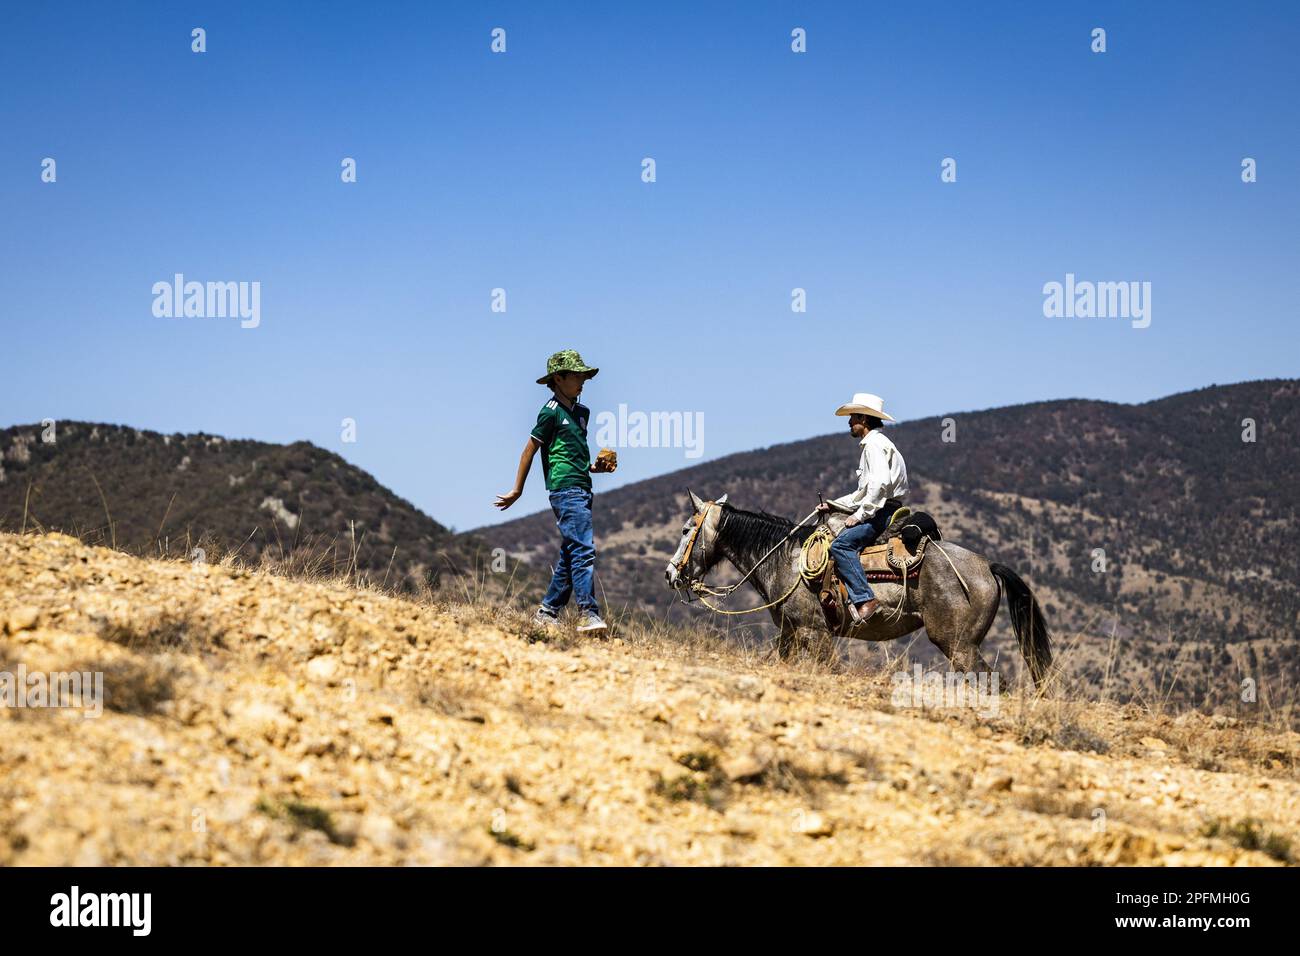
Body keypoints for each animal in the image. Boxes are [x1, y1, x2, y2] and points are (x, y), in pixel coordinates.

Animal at [665, 489, 1050, 686]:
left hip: (958, 644)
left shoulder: (816, 633)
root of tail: (986, 566)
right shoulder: (790, 632)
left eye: (686, 529)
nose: (671, 574)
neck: (785, 559)